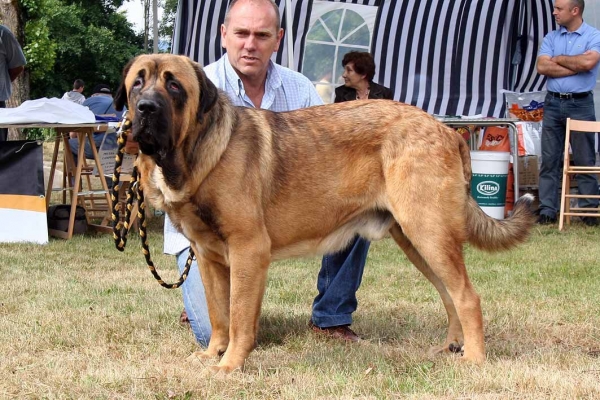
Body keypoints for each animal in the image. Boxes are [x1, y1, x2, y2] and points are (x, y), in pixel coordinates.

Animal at [115, 54, 536, 376]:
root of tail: (447, 131)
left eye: (173, 86)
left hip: (428, 231)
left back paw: (474, 358)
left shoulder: (248, 250)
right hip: (419, 240)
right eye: (138, 83)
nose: (145, 109)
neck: (192, 153)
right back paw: (451, 346)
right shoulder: (208, 256)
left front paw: (230, 364)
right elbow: (220, 315)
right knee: (450, 295)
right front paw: (212, 354)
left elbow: (238, 316)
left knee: (467, 296)